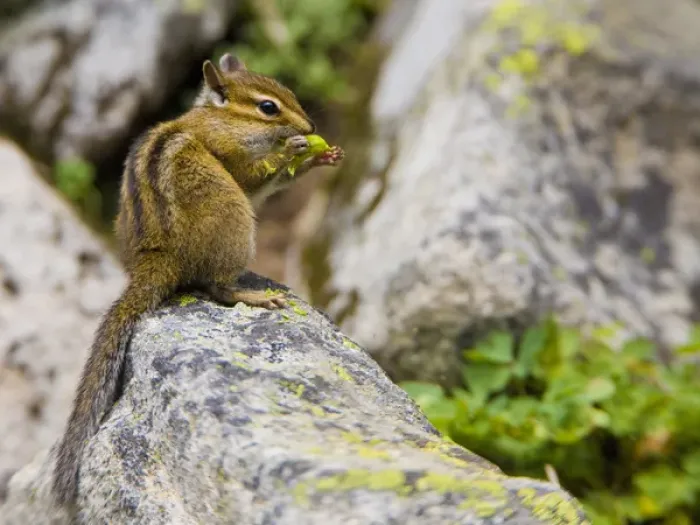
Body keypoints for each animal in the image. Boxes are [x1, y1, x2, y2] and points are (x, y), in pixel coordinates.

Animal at [51, 52, 344, 507]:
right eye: (268, 107)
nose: (310, 127)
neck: (217, 118)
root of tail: (157, 262)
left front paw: (322, 156)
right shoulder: (234, 158)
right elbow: (256, 179)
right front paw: (296, 150)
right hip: (235, 217)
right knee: (217, 287)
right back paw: (255, 296)